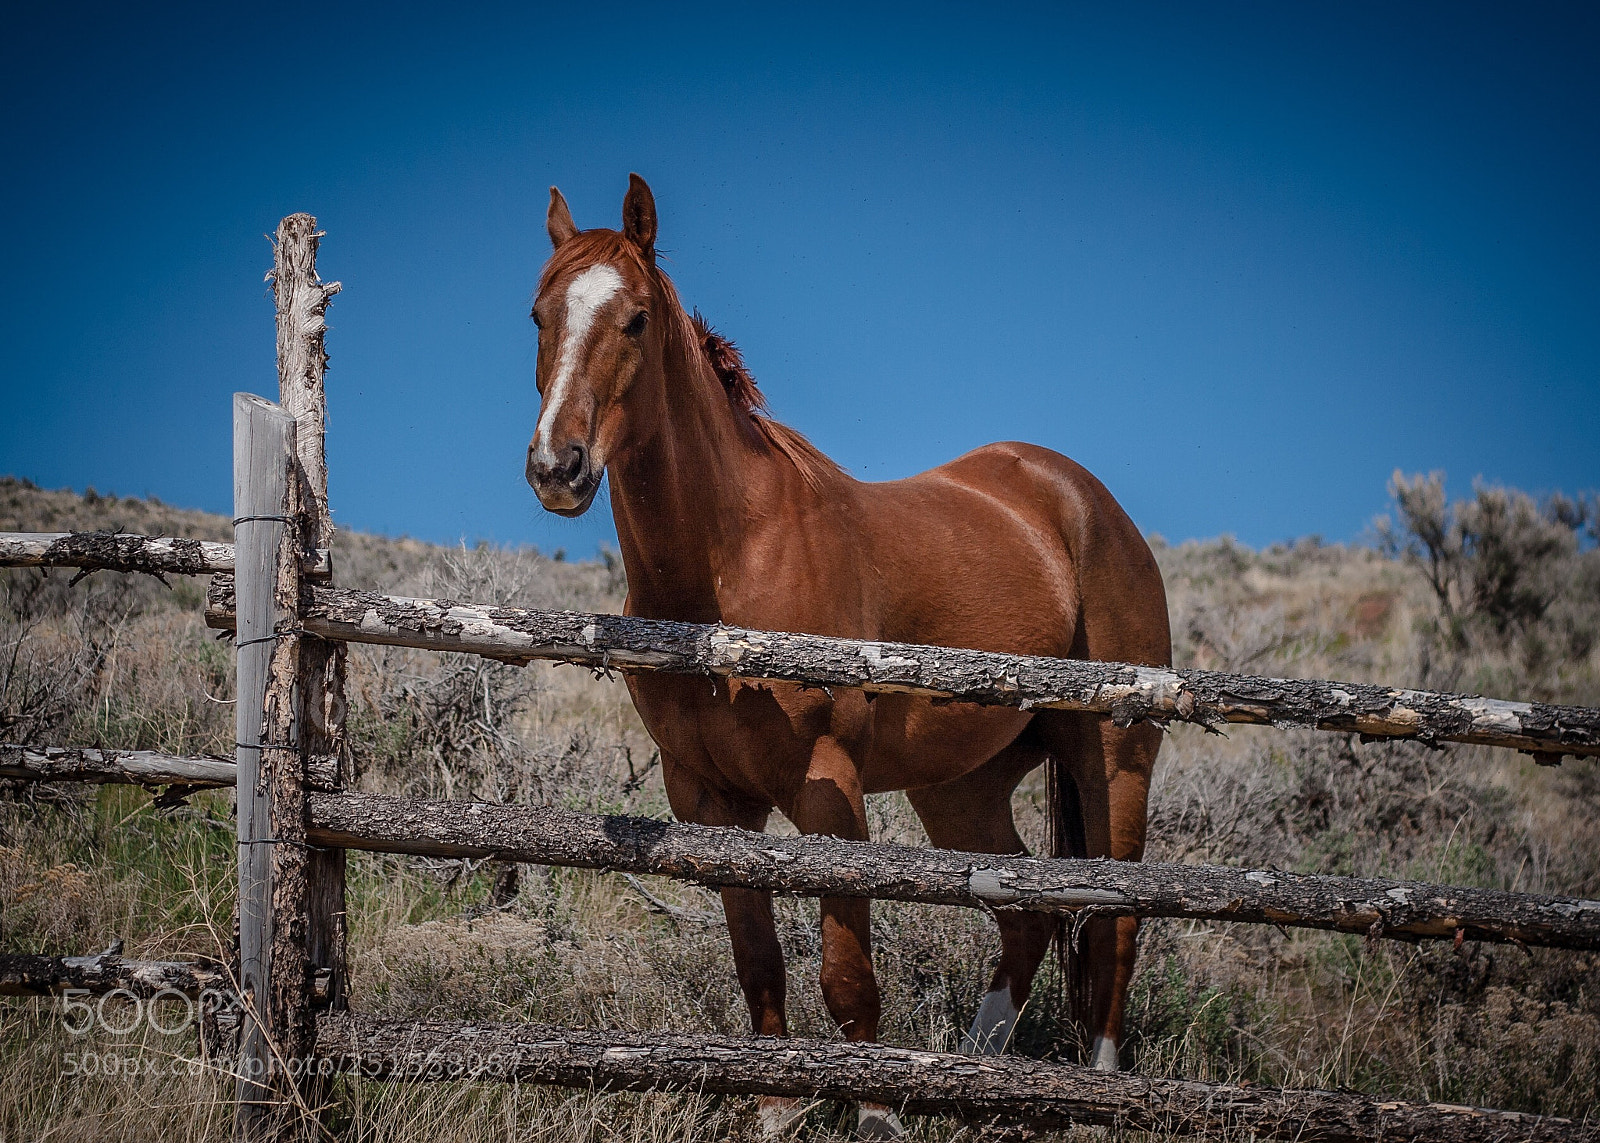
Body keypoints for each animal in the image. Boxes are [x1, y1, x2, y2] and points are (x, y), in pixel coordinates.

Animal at [524, 175, 1171, 1139]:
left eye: (635, 318)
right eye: (539, 315)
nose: (555, 466)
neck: (730, 567)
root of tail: (1081, 500)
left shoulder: (829, 787)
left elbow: (846, 973)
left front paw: (873, 1110)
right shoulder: (710, 797)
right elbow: (759, 964)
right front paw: (775, 1107)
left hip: (1113, 762)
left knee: (1114, 924)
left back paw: (1097, 1095)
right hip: (960, 787)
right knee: (1025, 914)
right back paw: (973, 1070)